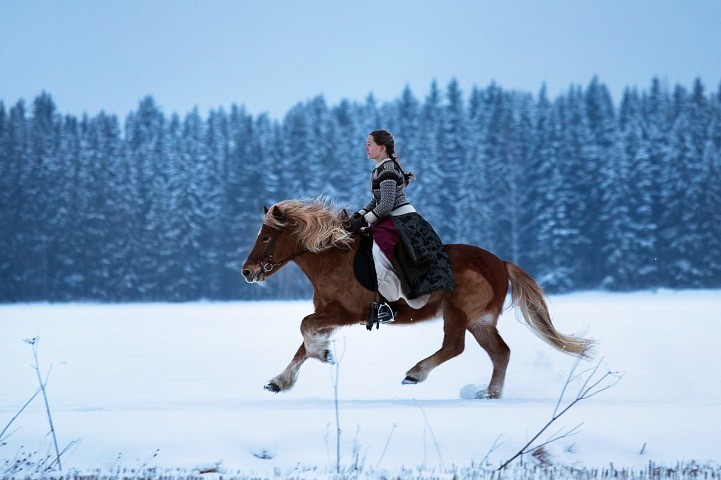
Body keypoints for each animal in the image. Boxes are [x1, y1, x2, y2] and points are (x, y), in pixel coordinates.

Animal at [240, 197, 592, 400]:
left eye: (267, 236)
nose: (247, 271)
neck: (332, 258)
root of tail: (501, 263)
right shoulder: (328, 313)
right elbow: (304, 339)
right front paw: (282, 380)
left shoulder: (347, 313)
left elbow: (304, 327)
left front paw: (322, 354)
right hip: (480, 319)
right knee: (500, 353)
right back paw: (490, 395)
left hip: (458, 312)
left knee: (455, 346)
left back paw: (416, 373)